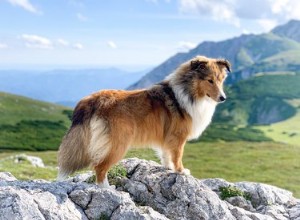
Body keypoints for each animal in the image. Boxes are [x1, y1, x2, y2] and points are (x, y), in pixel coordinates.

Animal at [57, 55, 231, 187]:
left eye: (221, 80)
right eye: (209, 80)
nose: (223, 98)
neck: (188, 92)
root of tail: (92, 99)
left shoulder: (167, 137)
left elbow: (166, 154)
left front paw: (168, 168)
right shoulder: (178, 137)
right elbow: (177, 156)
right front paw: (181, 171)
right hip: (118, 144)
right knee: (99, 167)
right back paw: (107, 188)